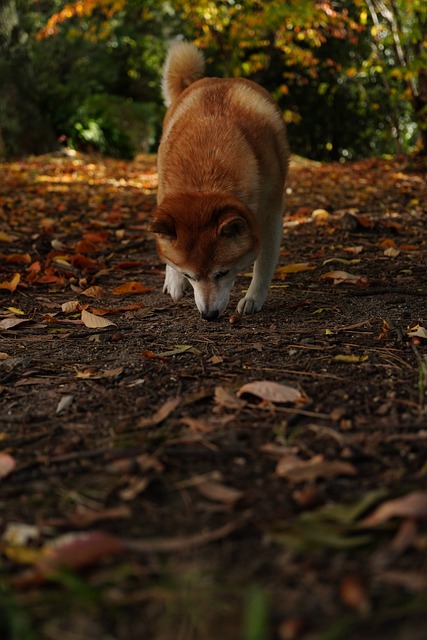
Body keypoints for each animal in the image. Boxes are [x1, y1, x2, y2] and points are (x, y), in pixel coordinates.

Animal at [151, 40, 290, 320]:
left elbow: (263, 264)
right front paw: (176, 279)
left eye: (223, 272)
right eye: (190, 275)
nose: (209, 315)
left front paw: (253, 298)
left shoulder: (269, 215)